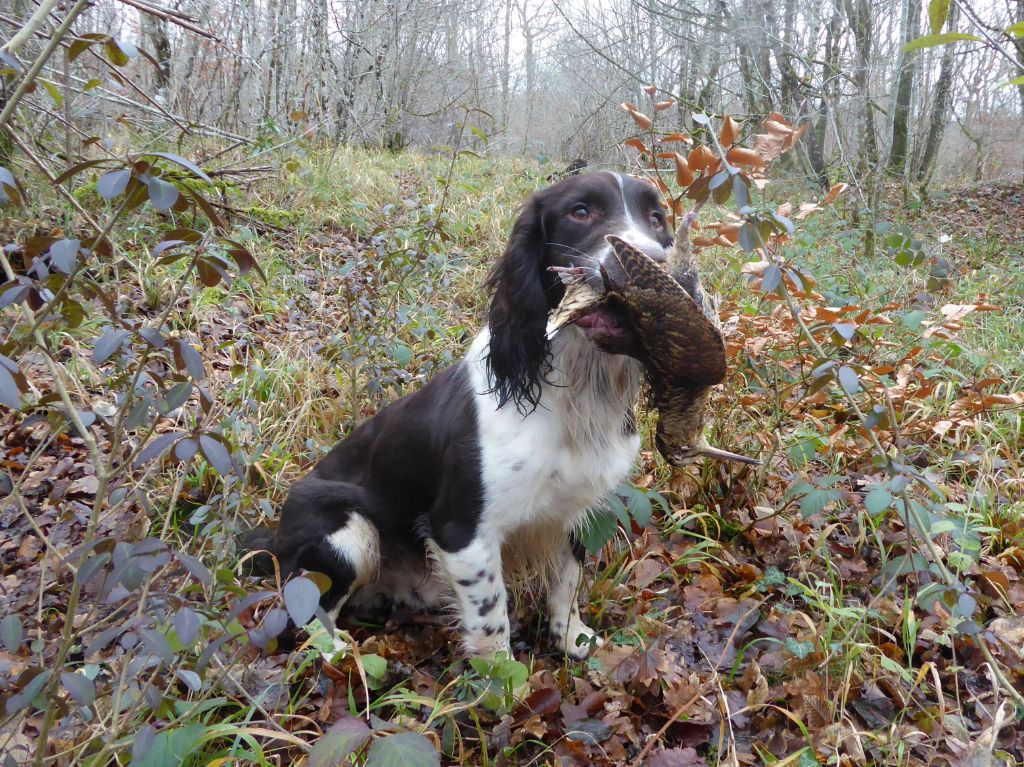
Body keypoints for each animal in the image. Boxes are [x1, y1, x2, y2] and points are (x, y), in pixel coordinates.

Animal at [249, 172, 671, 659]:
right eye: (580, 211)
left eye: (657, 219)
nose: (653, 265)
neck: (576, 387)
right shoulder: (463, 533)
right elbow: (492, 622)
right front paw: (505, 675)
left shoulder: (574, 511)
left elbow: (566, 584)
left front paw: (571, 639)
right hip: (348, 533)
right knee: (310, 618)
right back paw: (344, 657)